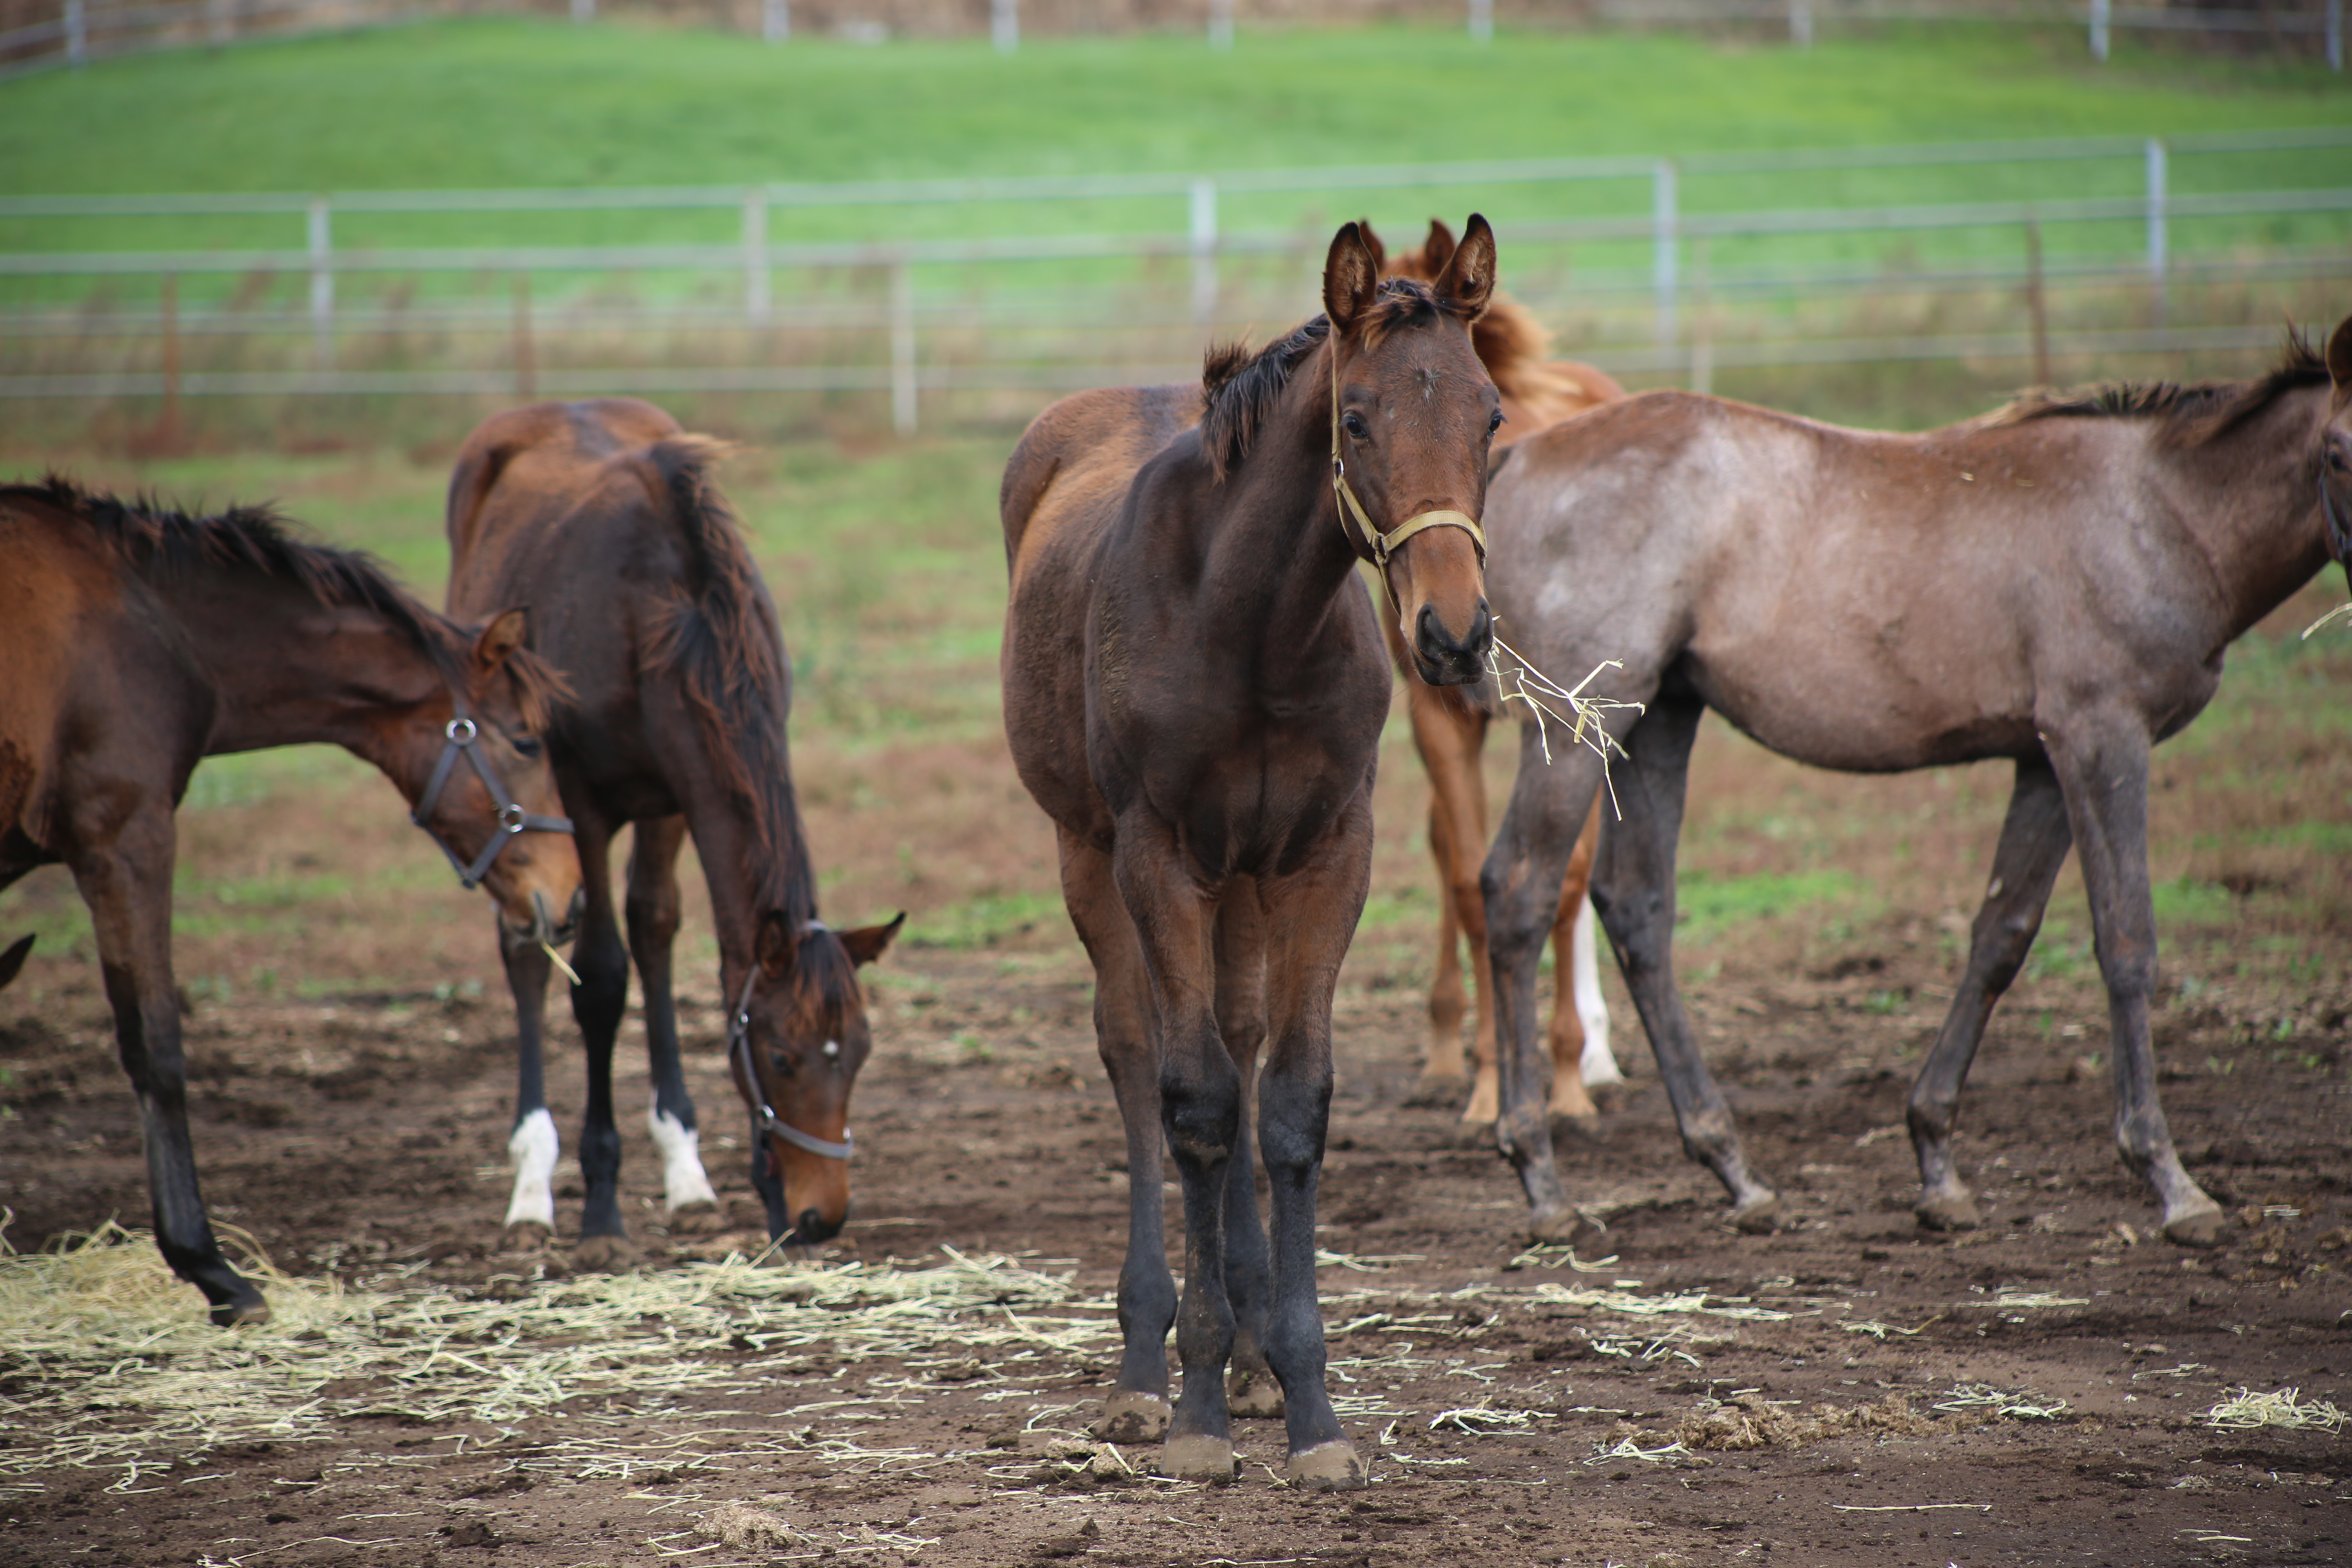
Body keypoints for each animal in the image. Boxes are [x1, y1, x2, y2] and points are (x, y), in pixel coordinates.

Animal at [0, 482, 576, 1326]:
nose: (572, 893)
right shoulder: (126, 834)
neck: (160, 628)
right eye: (527, 741)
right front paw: (212, 1269)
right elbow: (156, 1045)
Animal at [442, 399, 898, 1269]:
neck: (663, 615)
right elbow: (600, 981)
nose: (823, 1215)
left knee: (647, 930)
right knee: (529, 951)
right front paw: (600, 1203)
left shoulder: (679, 797)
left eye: (858, 1052)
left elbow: (674, 941)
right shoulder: (579, 805)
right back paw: (533, 1186)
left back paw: (685, 1175)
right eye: (782, 1058)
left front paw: (720, 1183)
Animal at [1002, 217, 1496, 1486]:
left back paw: (1251, 1355)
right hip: (1088, 852)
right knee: (1139, 1059)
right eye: (1357, 417)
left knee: (1235, 1037)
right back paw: (1148, 1365)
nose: (1454, 633)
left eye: (1490, 415)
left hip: (1245, 885)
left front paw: (1308, 1404)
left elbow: (1288, 1106)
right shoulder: (1160, 854)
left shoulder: (1324, 855)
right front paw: (1193, 1413)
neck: (1249, 622)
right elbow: (1196, 1108)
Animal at [1373, 221, 1627, 1128]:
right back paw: (1449, 1051)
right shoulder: (1439, 716)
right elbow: (1471, 881)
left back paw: (1596, 1055)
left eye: (1485, 416)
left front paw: (1565, 1081)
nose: (1453, 626)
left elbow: (1563, 886)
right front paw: (1489, 1085)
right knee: (1450, 852)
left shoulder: (1568, 715)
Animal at [1468, 322, 2352, 1250]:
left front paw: (1937, 1159)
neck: (2160, 512)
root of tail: (1521, 457)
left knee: (1636, 906)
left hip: (1659, 716)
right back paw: (1540, 1176)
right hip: (1574, 734)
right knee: (1520, 893)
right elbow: (2128, 945)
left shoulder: (2045, 763)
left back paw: (1733, 1167)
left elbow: (2001, 938)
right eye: (2337, 452)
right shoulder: (2102, 740)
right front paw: (2169, 1178)